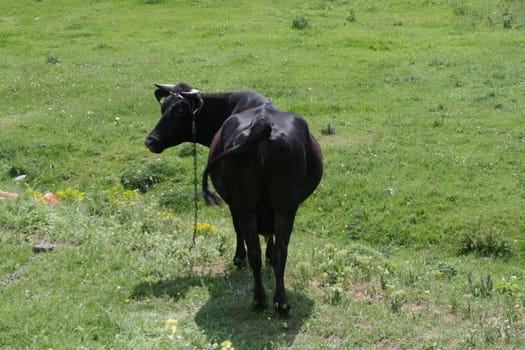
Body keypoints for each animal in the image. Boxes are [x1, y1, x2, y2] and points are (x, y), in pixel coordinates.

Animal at [144, 83, 324, 316]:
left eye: (180, 111)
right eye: (163, 108)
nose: (150, 141)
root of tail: (262, 123)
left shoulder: (232, 203)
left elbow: (239, 230)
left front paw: (239, 257)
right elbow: (270, 240)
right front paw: (267, 255)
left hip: (248, 205)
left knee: (253, 246)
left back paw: (260, 300)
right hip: (283, 207)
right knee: (278, 253)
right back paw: (279, 303)